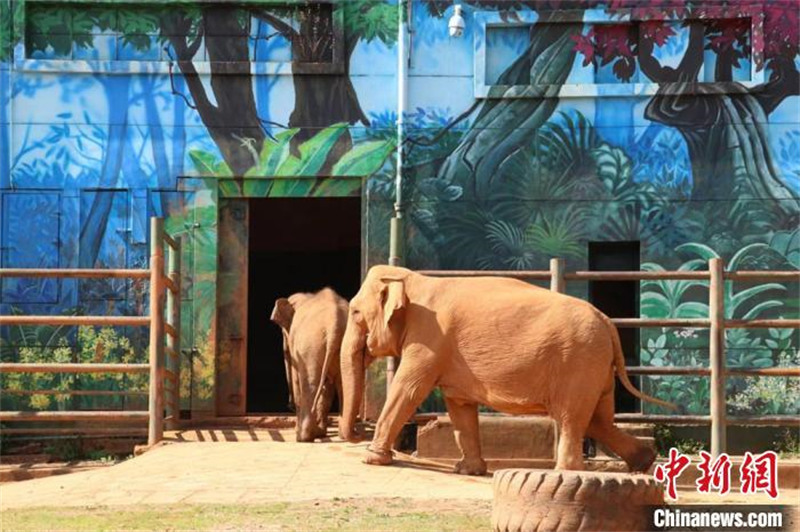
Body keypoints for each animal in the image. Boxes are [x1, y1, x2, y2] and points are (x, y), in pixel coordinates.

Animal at [271, 288, 347, 442]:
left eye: (284, 332)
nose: (289, 406)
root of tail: (334, 324)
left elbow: (297, 379)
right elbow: (327, 386)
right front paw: (321, 431)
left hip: (311, 346)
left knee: (309, 384)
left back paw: (303, 437)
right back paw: (338, 434)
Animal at [338, 265, 675, 475]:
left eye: (354, 312)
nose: (356, 432)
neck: (414, 279)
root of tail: (608, 323)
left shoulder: (428, 341)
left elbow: (406, 390)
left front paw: (371, 459)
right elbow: (459, 406)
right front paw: (469, 470)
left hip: (579, 361)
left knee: (572, 416)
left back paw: (567, 471)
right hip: (596, 366)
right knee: (597, 419)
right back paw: (643, 463)